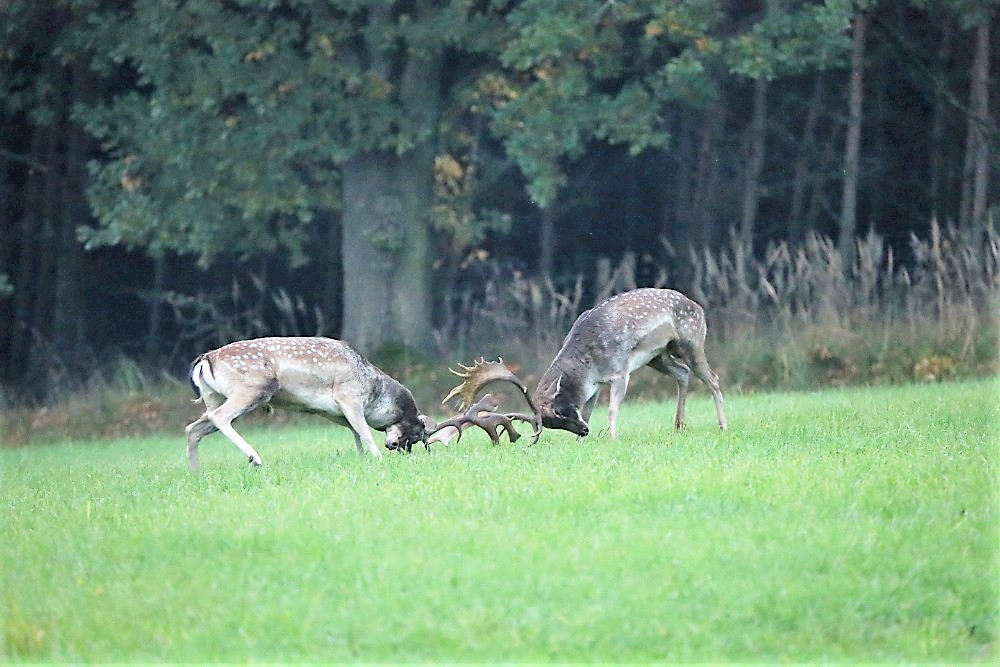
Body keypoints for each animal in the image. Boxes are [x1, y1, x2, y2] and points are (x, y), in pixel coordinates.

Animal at [186, 336, 432, 472]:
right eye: (415, 433)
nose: (399, 449)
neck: (373, 387)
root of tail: (204, 360)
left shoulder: (332, 412)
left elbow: (355, 432)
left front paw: (363, 459)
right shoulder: (348, 395)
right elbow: (364, 432)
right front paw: (378, 459)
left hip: (213, 396)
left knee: (193, 427)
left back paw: (196, 473)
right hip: (253, 387)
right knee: (219, 417)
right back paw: (255, 458)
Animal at [434, 288, 732, 444]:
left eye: (561, 410)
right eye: (553, 423)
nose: (584, 432)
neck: (590, 364)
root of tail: (699, 306)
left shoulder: (619, 371)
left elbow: (612, 409)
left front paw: (612, 437)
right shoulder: (597, 384)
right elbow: (590, 410)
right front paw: (583, 442)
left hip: (690, 340)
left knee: (713, 378)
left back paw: (723, 426)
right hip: (658, 356)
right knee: (683, 373)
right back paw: (679, 424)